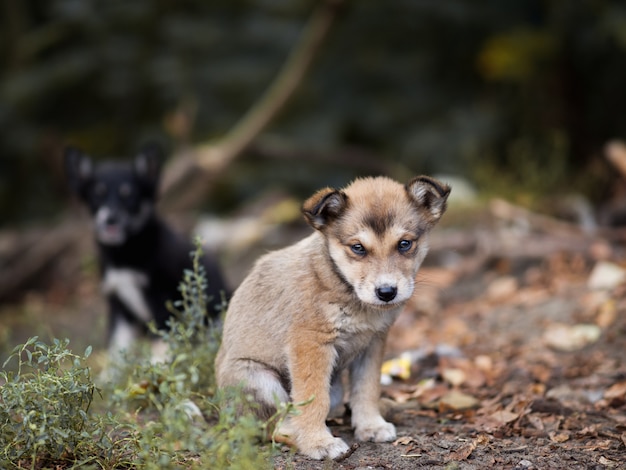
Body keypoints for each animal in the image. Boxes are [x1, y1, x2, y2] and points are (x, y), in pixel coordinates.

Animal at [65, 145, 229, 362]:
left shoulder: (161, 299)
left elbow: (160, 341)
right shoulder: (119, 306)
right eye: (97, 194)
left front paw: (156, 365)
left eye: (129, 195)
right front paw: (110, 372)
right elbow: (116, 349)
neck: (124, 253)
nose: (110, 219)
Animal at [214, 176, 448, 458]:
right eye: (358, 248)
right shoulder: (311, 345)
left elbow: (367, 389)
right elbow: (313, 398)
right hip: (258, 379)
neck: (345, 287)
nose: (386, 292)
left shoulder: (373, 343)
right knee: (272, 427)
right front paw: (318, 442)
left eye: (405, 244)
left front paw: (370, 425)